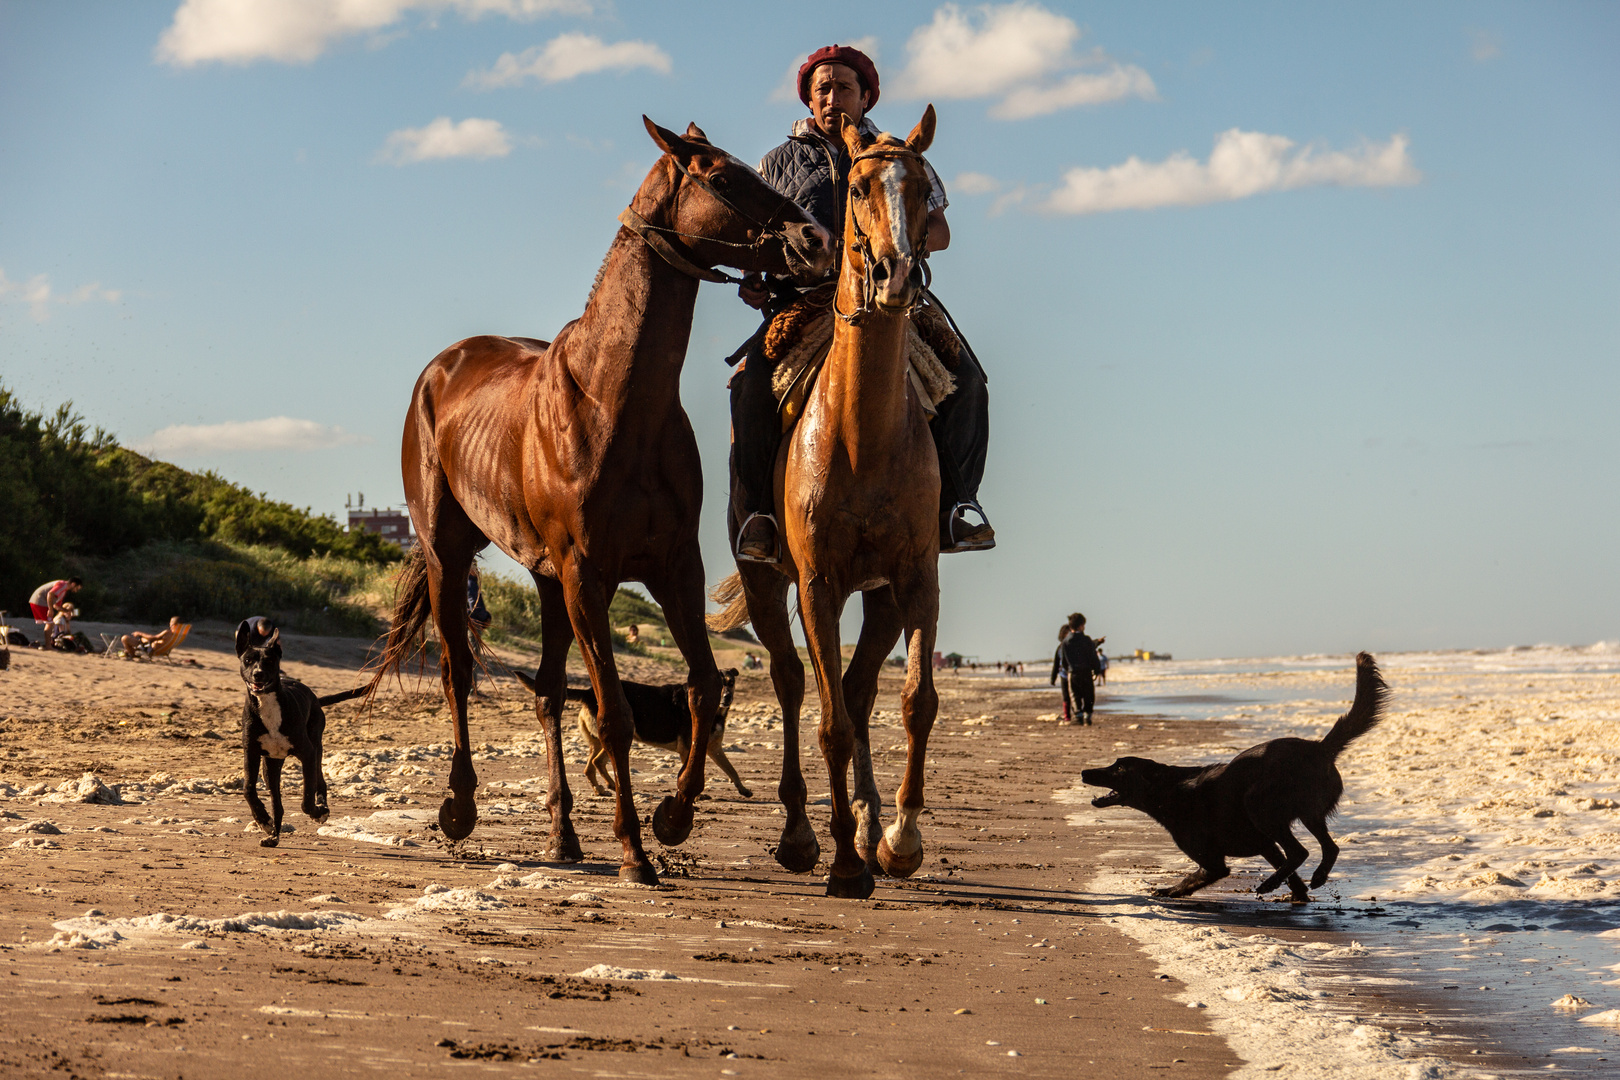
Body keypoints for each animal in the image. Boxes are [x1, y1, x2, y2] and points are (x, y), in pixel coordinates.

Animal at [234, 615, 361, 841]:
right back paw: (273, 834)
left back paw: (321, 809)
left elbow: (307, 798)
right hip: (271, 764)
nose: (258, 674)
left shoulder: (307, 754)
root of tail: (315, 697)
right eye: (247, 660)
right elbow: (248, 789)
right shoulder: (251, 752)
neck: (268, 704)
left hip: (316, 746)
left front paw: (317, 811)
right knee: (277, 803)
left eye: (269, 661)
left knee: (320, 782)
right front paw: (262, 820)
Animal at [515, 670, 748, 799]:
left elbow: (732, 770)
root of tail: (589, 692)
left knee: (591, 766)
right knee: (595, 763)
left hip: (599, 741)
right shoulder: (688, 749)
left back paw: (603, 788)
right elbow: (688, 772)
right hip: (614, 737)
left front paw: (744, 789)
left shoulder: (714, 748)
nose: (726, 698)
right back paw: (607, 787)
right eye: (718, 685)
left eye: (731, 682)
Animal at [712, 107, 946, 906]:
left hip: (878, 598)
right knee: (792, 684)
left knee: (859, 686)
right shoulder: (816, 583)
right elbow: (831, 723)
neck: (862, 433)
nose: (895, 274)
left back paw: (872, 823)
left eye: (926, 191)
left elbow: (913, 701)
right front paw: (845, 864)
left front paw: (900, 841)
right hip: (766, 579)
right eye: (862, 189)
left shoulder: (916, 579)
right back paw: (800, 836)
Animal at [1082, 650, 1386, 906]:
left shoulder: (1214, 862)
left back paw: (1270, 884)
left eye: (1119, 768)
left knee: (1301, 851)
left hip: (1259, 804)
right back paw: (1317, 877)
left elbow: (1191, 878)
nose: (1084, 772)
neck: (1168, 791)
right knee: (1328, 848)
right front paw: (1298, 896)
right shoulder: (1265, 845)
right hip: (1307, 813)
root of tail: (1319, 748)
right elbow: (1291, 875)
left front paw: (1169, 890)